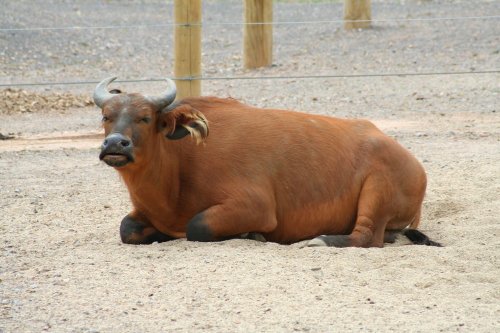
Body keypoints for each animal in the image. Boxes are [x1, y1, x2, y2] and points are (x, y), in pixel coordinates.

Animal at [92, 76, 440, 246]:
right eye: (106, 116)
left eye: (145, 117)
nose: (115, 144)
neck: (178, 171)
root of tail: (414, 165)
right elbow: (126, 228)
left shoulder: (254, 206)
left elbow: (196, 226)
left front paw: (250, 234)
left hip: (377, 189)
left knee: (368, 237)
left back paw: (319, 240)